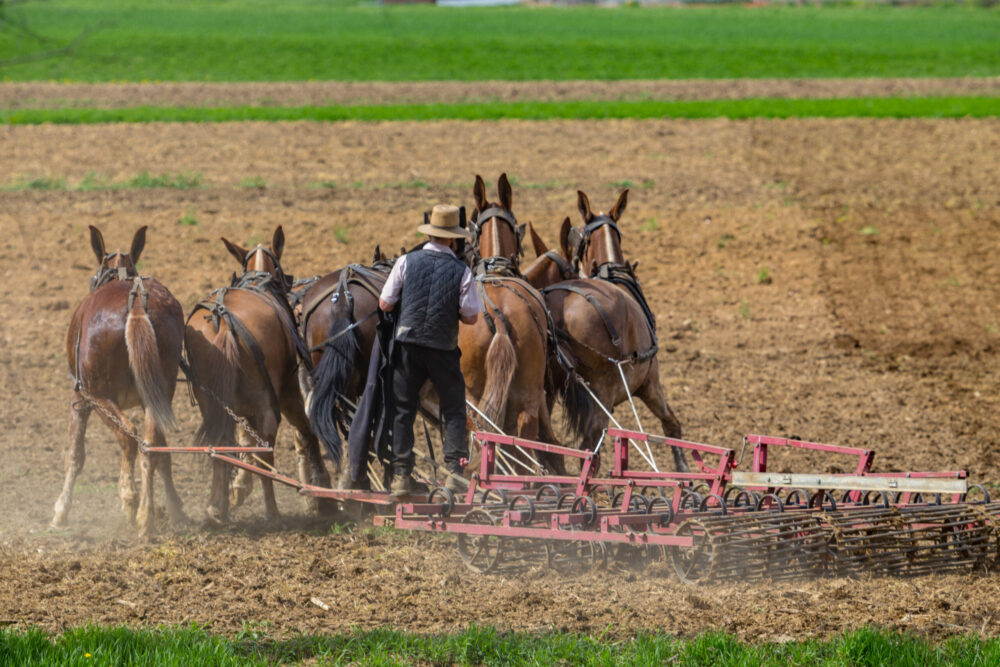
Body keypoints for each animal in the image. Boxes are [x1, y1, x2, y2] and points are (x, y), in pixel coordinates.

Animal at [53, 227, 187, 536]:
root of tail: (136, 303)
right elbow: (161, 454)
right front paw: (175, 508)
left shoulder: (79, 399)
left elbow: (75, 454)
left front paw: (61, 512)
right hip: (159, 393)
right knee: (151, 444)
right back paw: (146, 517)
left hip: (97, 395)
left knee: (128, 435)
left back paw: (131, 500)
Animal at [184, 227, 332, 524]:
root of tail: (221, 323)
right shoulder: (287, 391)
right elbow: (305, 430)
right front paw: (320, 491)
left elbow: (244, 440)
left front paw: (237, 488)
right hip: (268, 400)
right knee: (266, 446)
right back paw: (272, 510)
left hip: (211, 402)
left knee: (220, 444)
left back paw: (217, 507)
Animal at [516, 190, 688, 472]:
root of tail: (555, 315)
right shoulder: (650, 384)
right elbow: (671, 424)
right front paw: (683, 469)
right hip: (601, 396)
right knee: (588, 450)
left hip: (542, 392)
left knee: (544, 443)